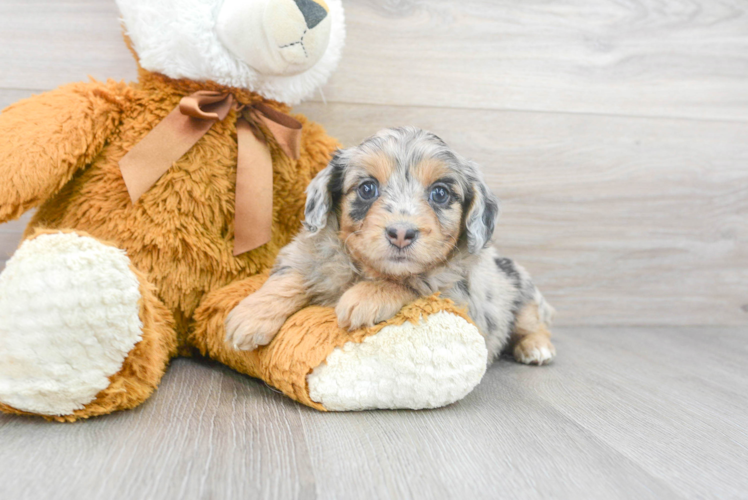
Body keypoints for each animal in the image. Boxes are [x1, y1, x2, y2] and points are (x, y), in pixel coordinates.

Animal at [226, 127, 556, 366]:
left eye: (440, 193)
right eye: (367, 188)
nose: (400, 233)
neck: (366, 269)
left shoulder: (457, 296)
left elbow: (415, 281)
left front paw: (364, 297)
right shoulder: (312, 253)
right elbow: (293, 276)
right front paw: (250, 316)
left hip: (524, 293)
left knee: (533, 324)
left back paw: (537, 348)